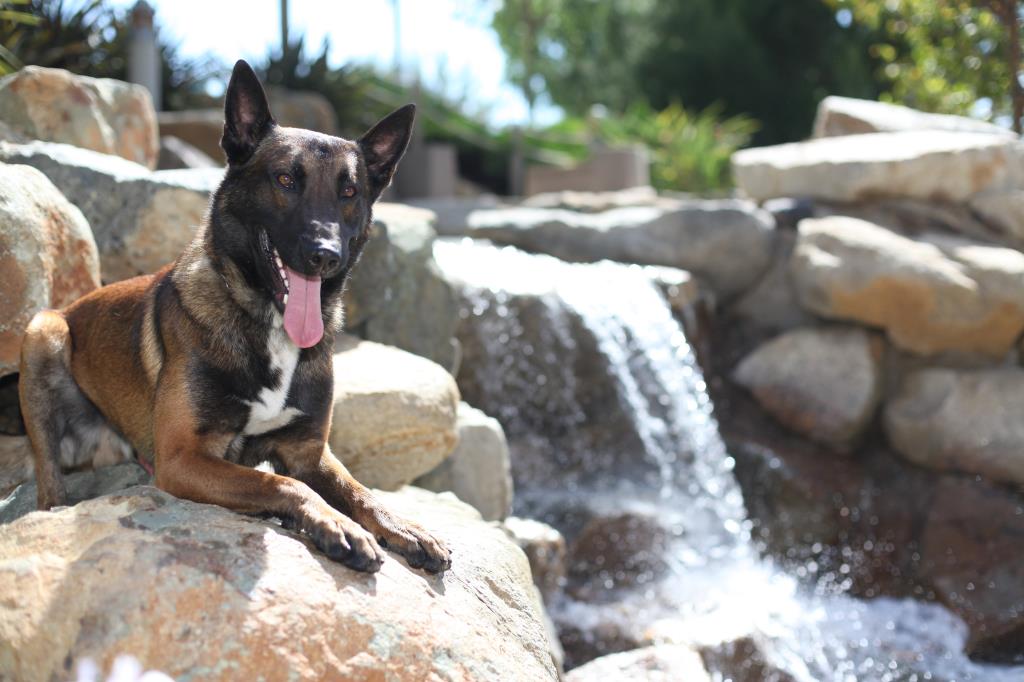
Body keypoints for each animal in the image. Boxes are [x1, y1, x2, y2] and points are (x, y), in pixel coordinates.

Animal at [18, 61, 450, 573]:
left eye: (349, 192)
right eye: (285, 180)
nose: (325, 254)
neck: (268, 322)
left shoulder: (310, 452)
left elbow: (359, 490)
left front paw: (404, 526)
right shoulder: (183, 459)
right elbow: (280, 482)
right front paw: (336, 524)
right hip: (43, 332)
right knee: (47, 480)